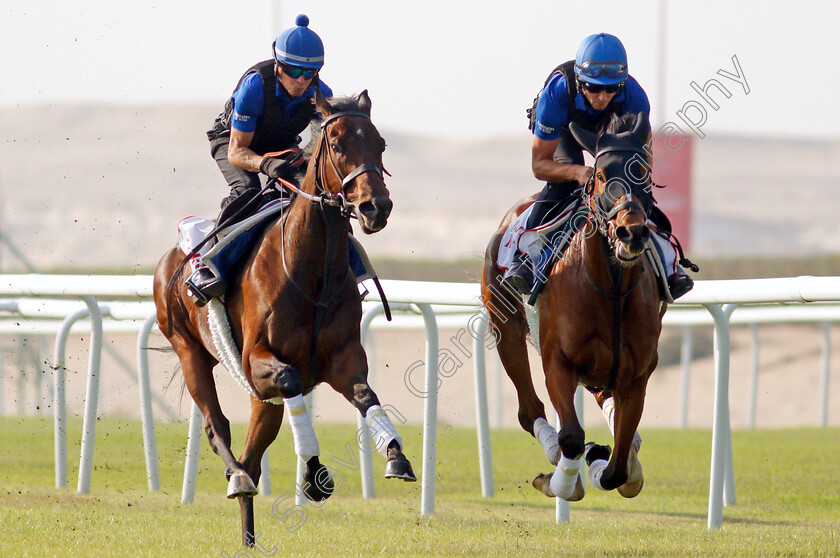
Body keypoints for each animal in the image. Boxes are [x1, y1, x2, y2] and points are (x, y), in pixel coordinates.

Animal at [154, 91, 416, 548]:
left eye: (380, 144)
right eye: (338, 145)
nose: (375, 207)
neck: (310, 274)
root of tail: (173, 256)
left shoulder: (343, 358)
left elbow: (365, 395)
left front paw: (395, 457)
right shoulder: (259, 363)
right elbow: (291, 381)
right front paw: (313, 473)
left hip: (262, 400)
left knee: (252, 455)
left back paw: (248, 535)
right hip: (189, 350)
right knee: (218, 429)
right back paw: (237, 479)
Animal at [482, 112, 668, 504]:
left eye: (643, 172)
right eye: (600, 176)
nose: (631, 232)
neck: (611, 290)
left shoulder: (637, 375)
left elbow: (617, 466)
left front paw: (604, 458)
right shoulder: (559, 361)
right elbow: (571, 436)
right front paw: (560, 481)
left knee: (608, 409)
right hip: (506, 328)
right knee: (529, 410)